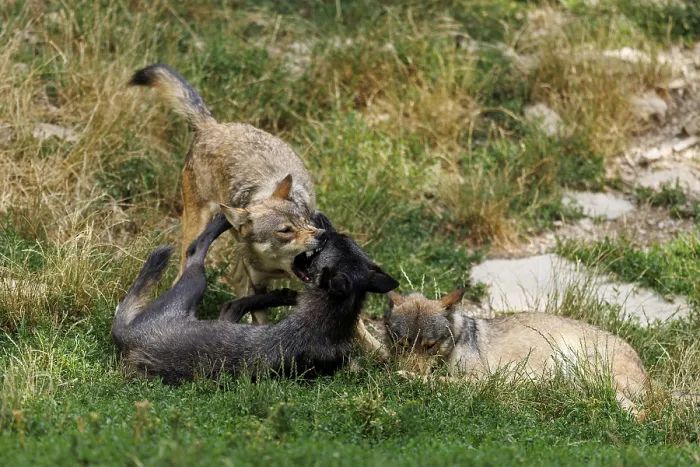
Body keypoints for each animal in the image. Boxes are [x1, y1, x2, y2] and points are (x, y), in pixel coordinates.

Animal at [112, 213, 399, 384]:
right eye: (342, 237)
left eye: (332, 239)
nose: (319, 218)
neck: (326, 323)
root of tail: (126, 335)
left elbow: (238, 302)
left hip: (195, 283)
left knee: (197, 252)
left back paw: (222, 221)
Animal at [128, 63, 323, 324]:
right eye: (285, 230)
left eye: (304, 220)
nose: (322, 235)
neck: (277, 269)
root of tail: (213, 127)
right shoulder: (260, 286)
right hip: (197, 227)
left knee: (235, 276)